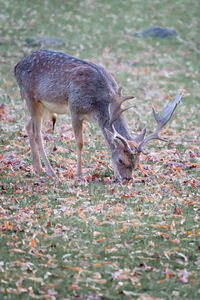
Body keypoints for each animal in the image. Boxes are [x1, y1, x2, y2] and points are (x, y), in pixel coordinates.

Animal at [14, 49, 182, 180]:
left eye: (137, 163)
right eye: (121, 160)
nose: (127, 179)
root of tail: (16, 66)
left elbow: (108, 143)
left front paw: (114, 175)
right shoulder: (74, 109)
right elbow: (80, 143)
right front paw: (79, 175)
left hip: (42, 106)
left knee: (28, 126)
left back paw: (38, 168)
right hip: (30, 96)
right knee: (37, 134)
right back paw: (50, 172)